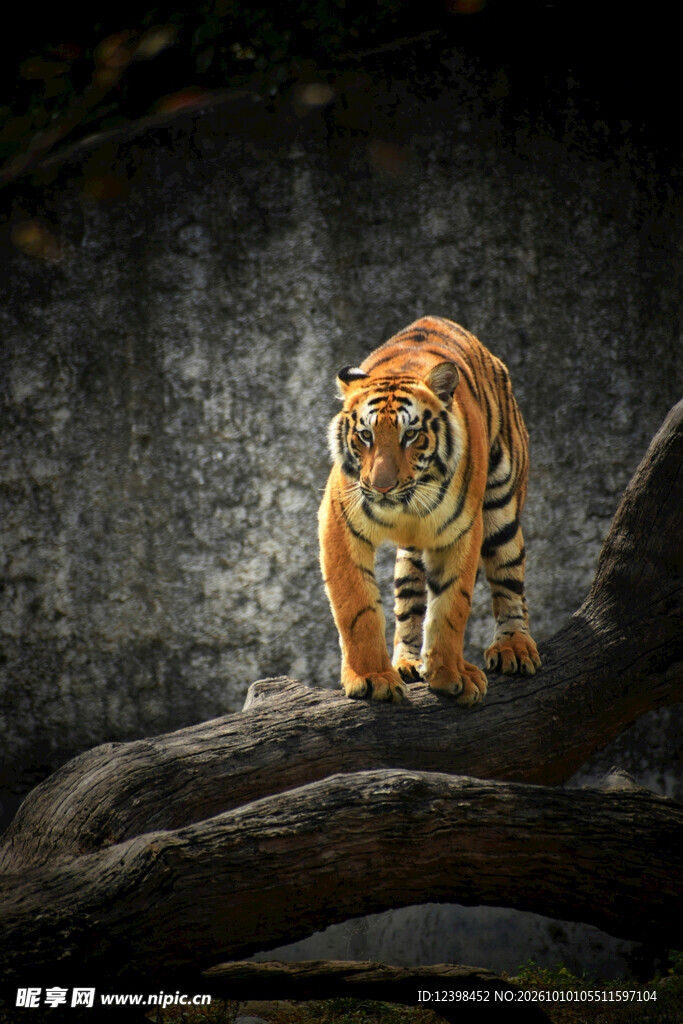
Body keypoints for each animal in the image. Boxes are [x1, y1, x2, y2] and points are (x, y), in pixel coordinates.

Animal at [318, 315, 541, 706]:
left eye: (410, 435)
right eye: (365, 436)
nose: (381, 486)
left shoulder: (462, 530)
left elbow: (451, 606)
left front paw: (451, 675)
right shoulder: (339, 523)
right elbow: (357, 607)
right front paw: (372, 677)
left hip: (502, 509)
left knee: (509, 580)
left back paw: (514, 647)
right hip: (411, 557)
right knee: (408, 602)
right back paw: (406, 662)